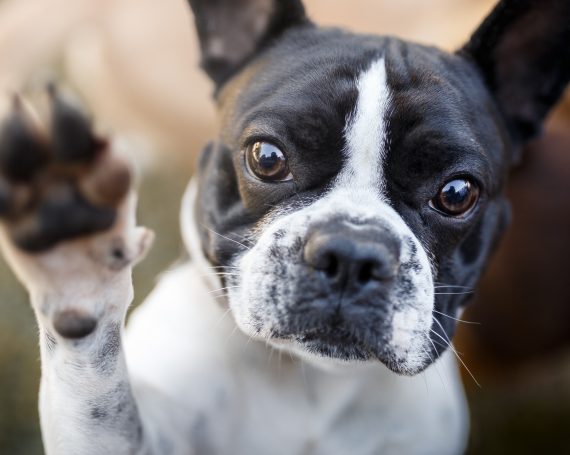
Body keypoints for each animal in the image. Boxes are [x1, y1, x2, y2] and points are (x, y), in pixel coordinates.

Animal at [1, 0, 568, 454]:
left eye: (457, 193)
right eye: (267, 158)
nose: (353, 253)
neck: (310, 380)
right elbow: (99, 387)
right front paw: (74, 255)